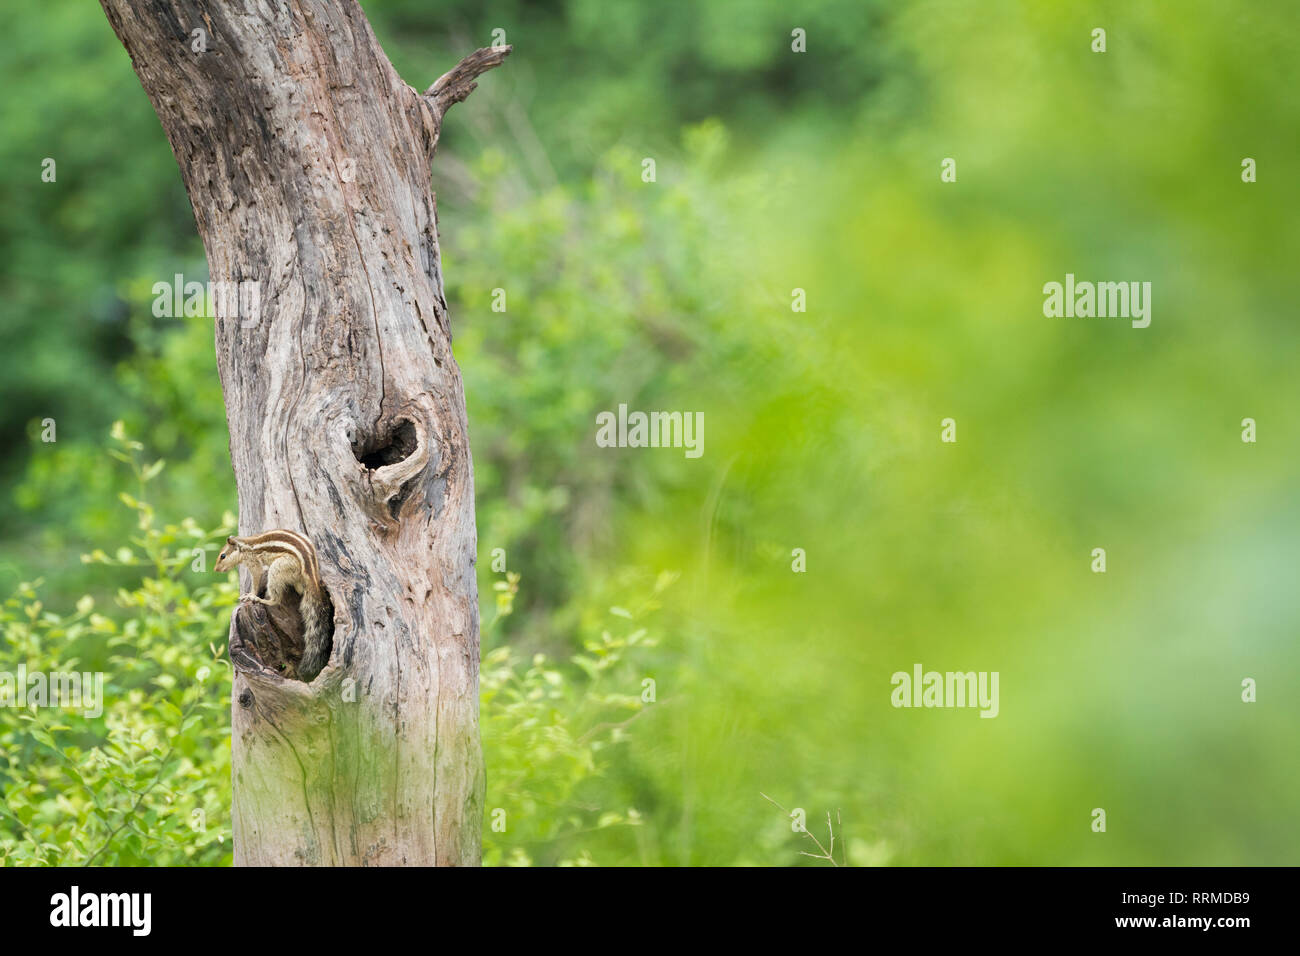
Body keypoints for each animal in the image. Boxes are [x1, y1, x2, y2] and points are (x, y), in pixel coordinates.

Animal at [215, 530, 332, 681]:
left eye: (223, 556)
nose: (216, 569)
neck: (244, 545)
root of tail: (311, 574)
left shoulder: (254, 563)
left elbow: (256, 578)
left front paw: (250, 595)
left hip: (278, 569)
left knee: (276, 599)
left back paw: (262, 600)